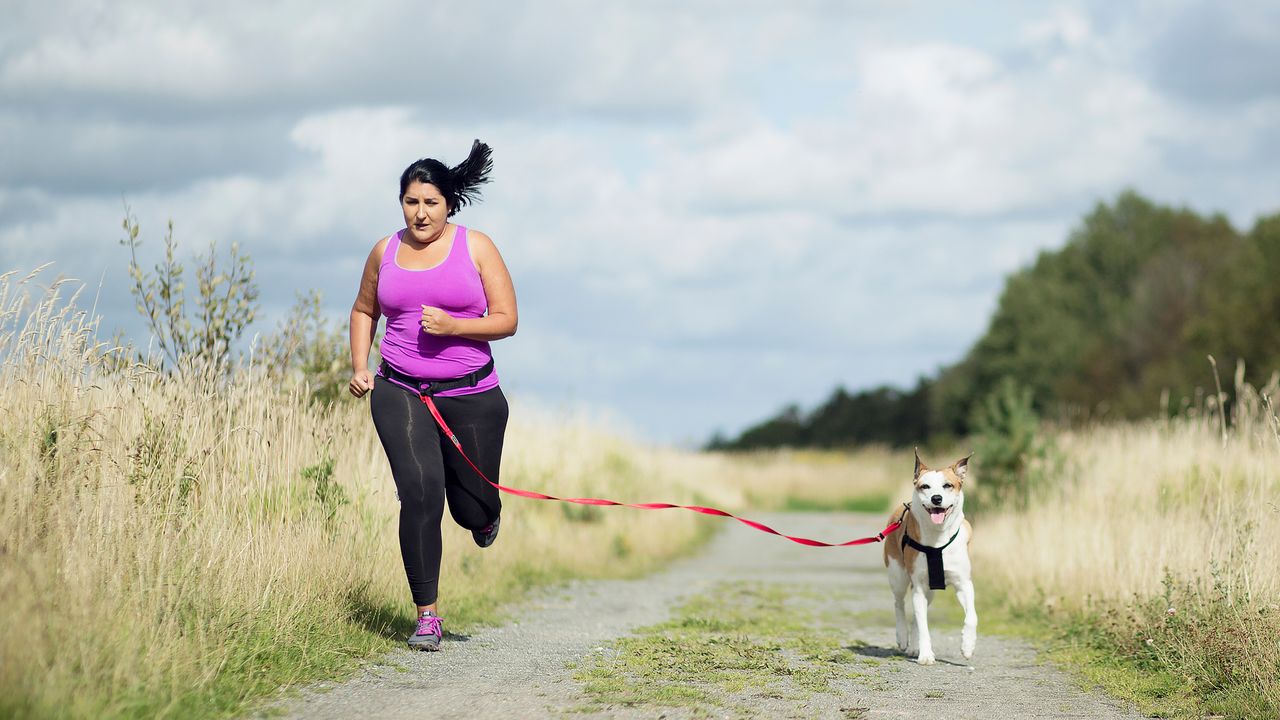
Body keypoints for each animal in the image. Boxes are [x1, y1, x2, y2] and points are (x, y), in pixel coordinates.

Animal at [885, 448, 972, 661]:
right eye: (925, 486)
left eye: (948, 485)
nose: (936, 498)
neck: (937, 537)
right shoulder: (917, 584)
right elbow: (923, 625)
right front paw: (925, 655)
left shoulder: (964, 583)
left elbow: (972, 616)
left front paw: (968, 645)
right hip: (898, 574)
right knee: (899, 603)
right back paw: (903, 637)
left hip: (930, 590)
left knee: (918, 615)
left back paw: (913, 647)